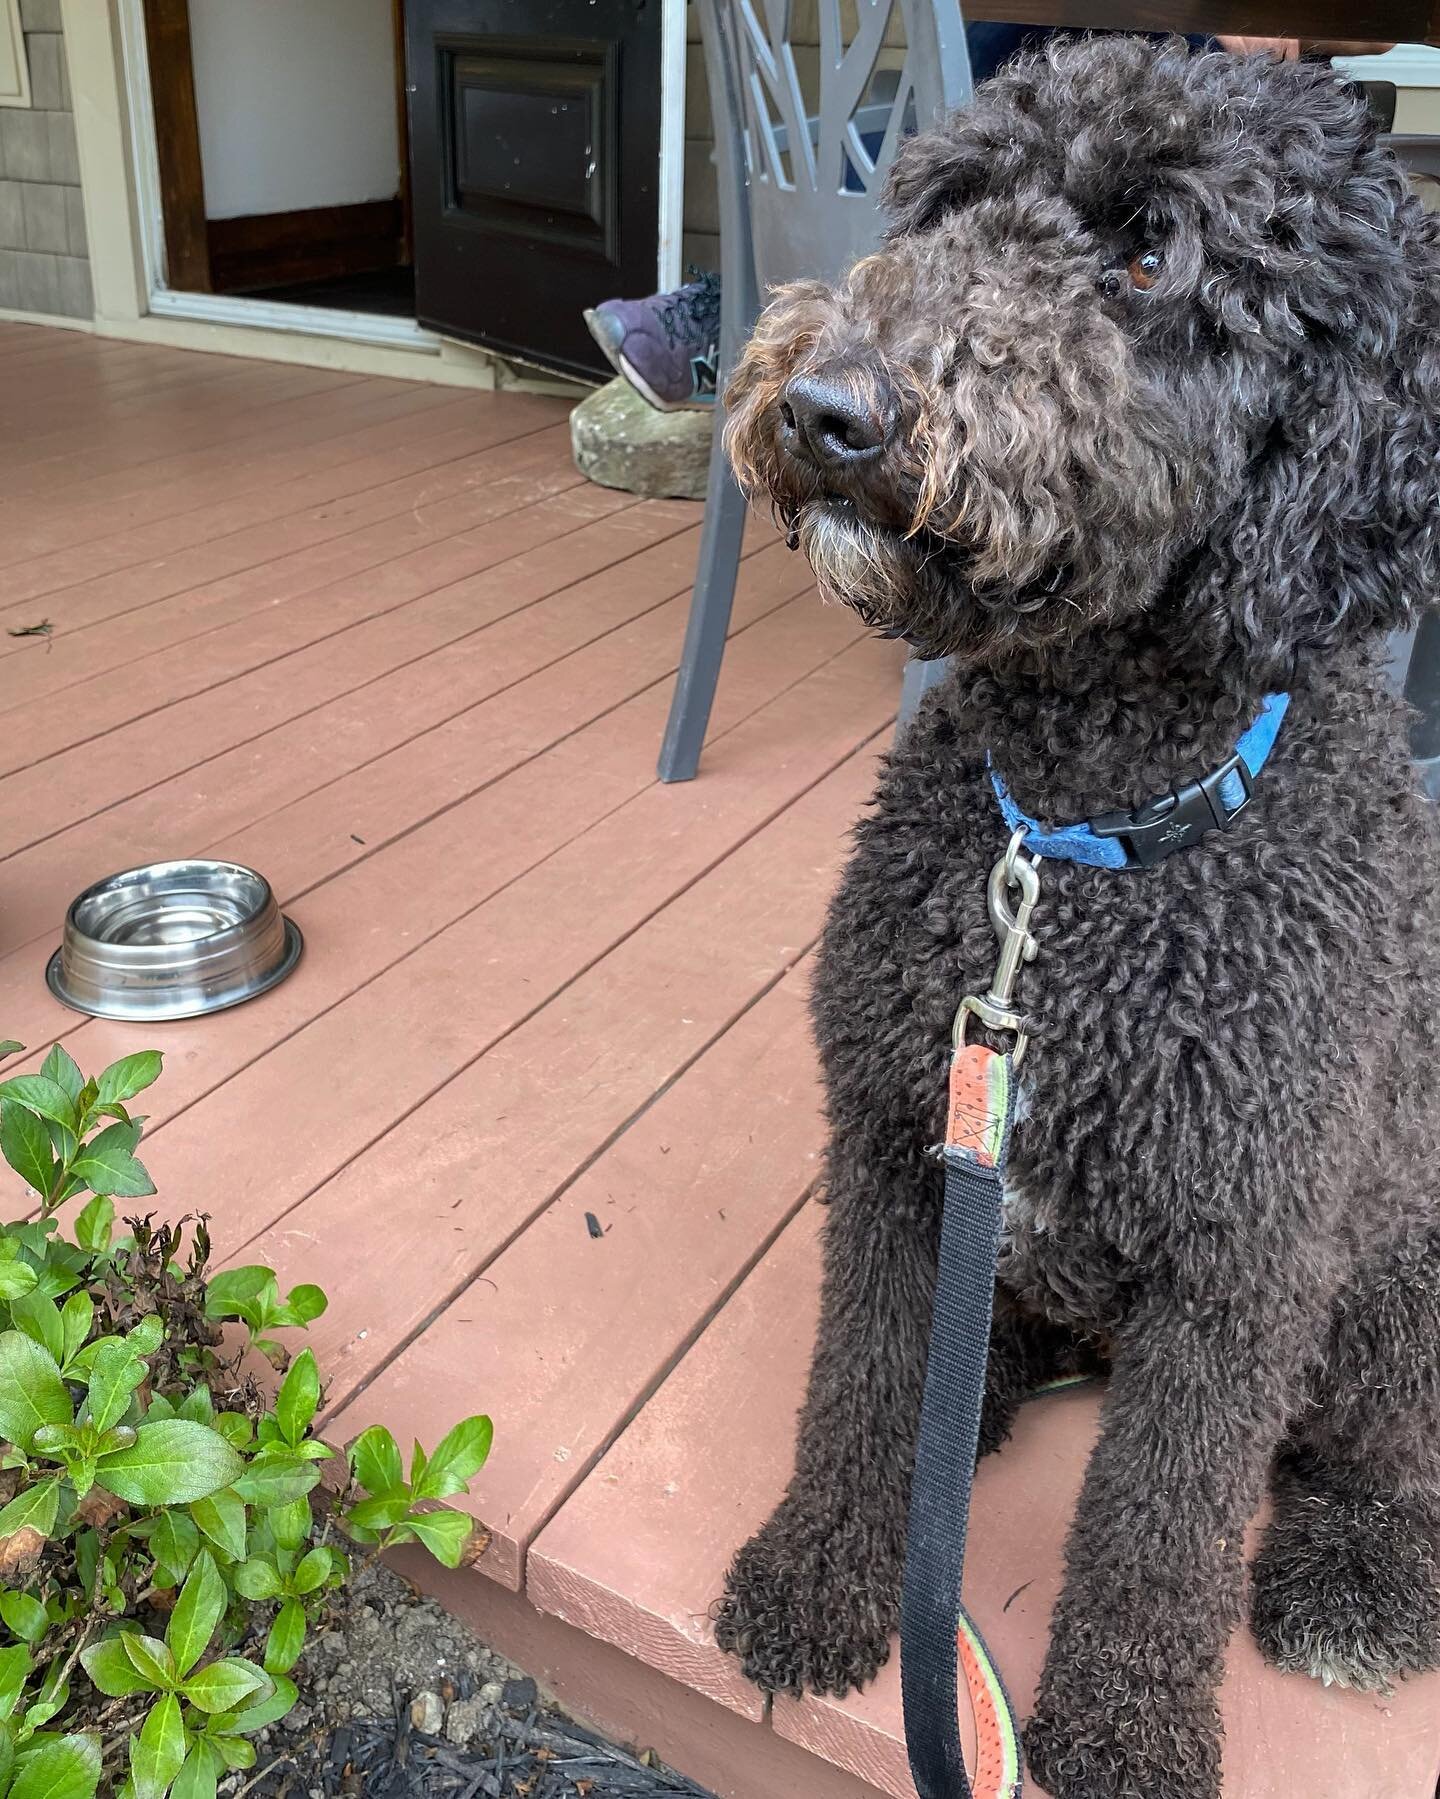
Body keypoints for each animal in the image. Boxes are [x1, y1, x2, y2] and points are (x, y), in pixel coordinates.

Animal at [712, 31, 1440, 1799]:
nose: (832, 407)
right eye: (950, 202)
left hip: (1393, 1274)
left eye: (1151, 255)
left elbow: (1159, 1528)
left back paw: (1358, 1571)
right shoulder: (898, 1143)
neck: (1077, 842)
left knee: (1382, 1453)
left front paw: (1122, 1732)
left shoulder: (1242, 1265)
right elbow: (862, 1383)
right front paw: (824, 1570)